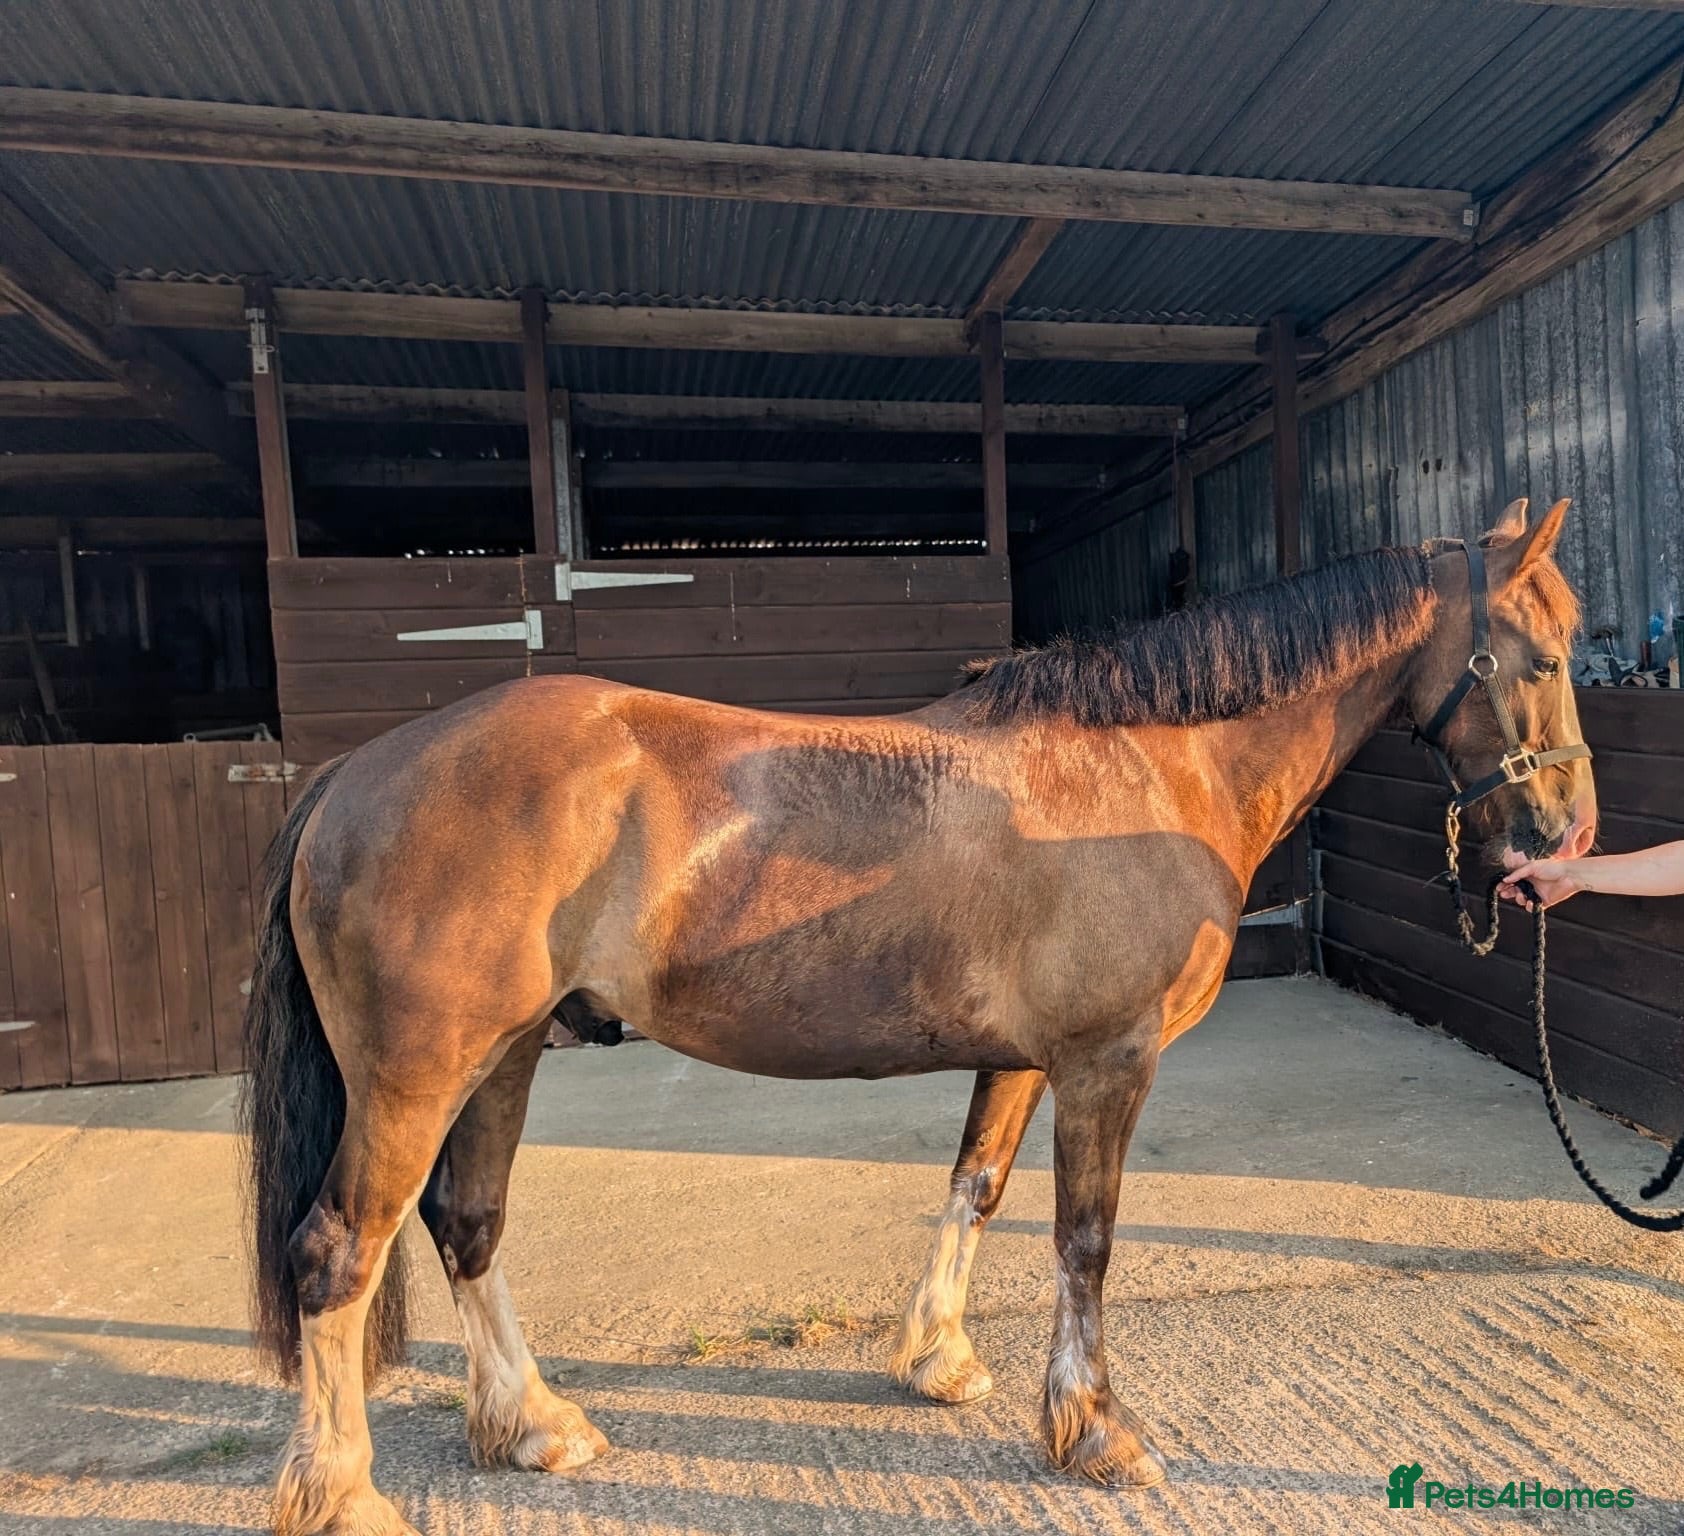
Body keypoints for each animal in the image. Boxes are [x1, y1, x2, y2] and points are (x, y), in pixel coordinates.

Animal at [242, 495, 1595, 1535]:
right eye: (1544, 656)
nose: (1561, 836)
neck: (1144, 764)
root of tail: (353, 776)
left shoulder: (1027, 1062)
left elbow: (976, 1193)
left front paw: (940, 1361)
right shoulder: (1107, 1062)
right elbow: (1084, 1242)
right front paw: (1096, 1432)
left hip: (506, 1055)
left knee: (464, 1226)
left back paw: (535, 1427)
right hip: (419, 1076)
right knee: (337, 1254)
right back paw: (344, 1494)